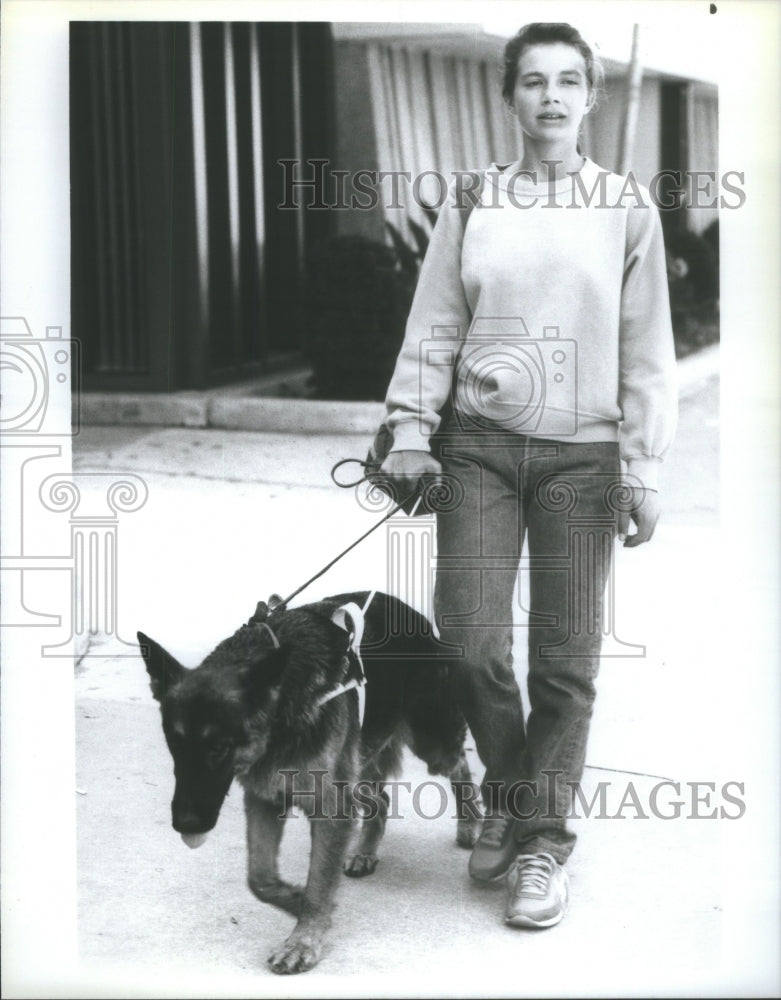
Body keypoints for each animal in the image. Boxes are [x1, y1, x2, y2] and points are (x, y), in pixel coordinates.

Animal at [140, 596, 482, 972]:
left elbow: (318, 880)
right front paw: (296, 899)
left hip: (430, 743)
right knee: (380, 801)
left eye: (218, 748)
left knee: (460, 767)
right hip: (359, 762)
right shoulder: (264, 799)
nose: (185, 824)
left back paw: (470, 825)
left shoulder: (331, 808)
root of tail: (410, 613)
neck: (281, 704)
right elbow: (259, 878)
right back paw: (365, 851)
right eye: (174, 744)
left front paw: (303, 940)